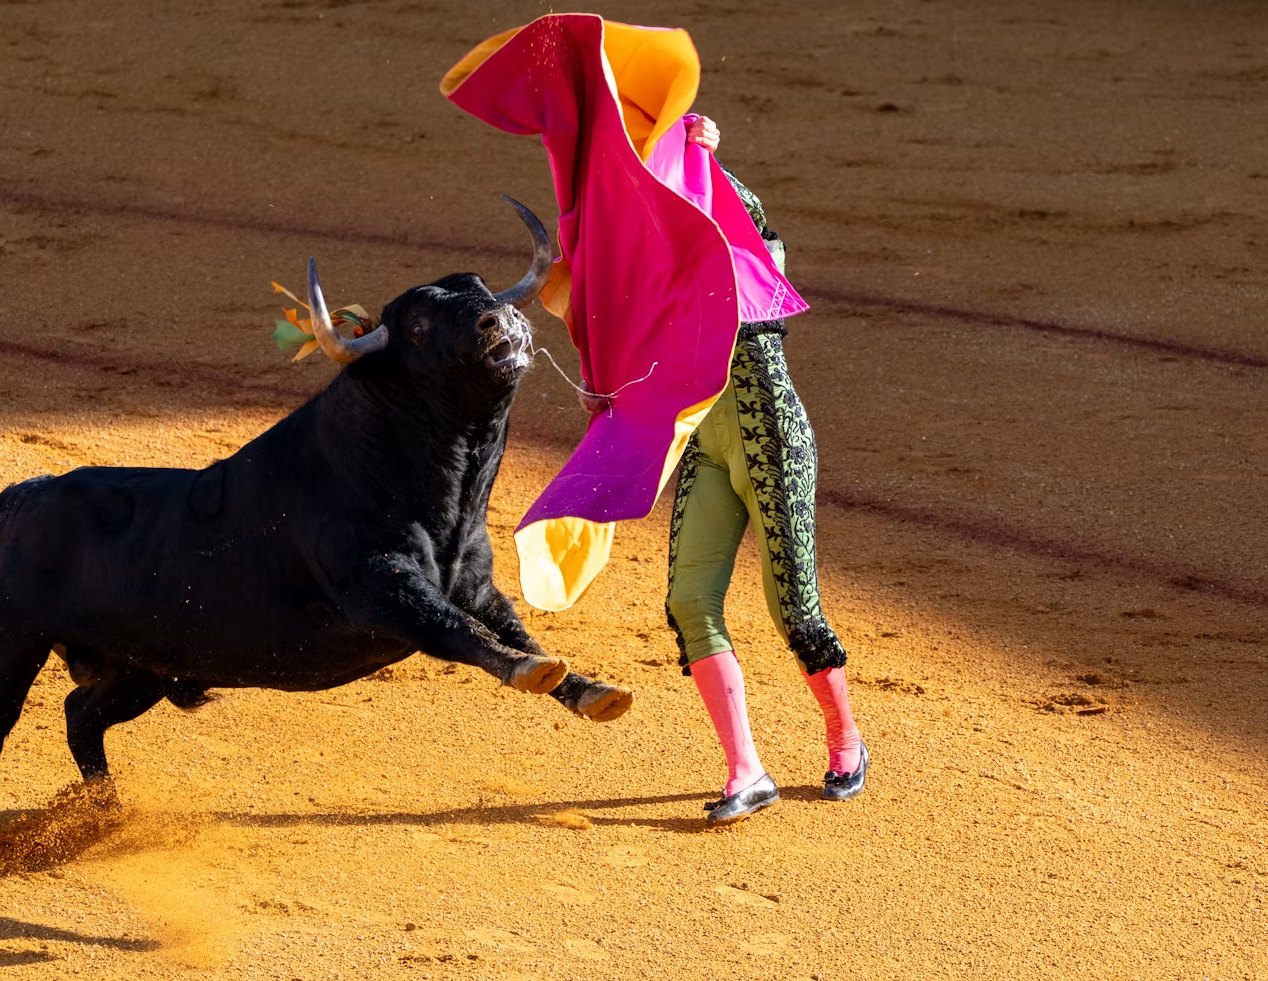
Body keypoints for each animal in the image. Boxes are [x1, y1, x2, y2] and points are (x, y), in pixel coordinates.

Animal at [0, 197, 631, 793]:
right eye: (418, 328)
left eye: (477, 290)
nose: (498, 319)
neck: (445, 494)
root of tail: (24, 494)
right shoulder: (380, 585)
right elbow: (455, 629)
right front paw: (530, 670)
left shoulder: (474, 586)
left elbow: (511, 626)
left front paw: (593, 691)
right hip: (21, 646)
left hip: (142, 668)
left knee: (81, 713)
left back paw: (104, 808)